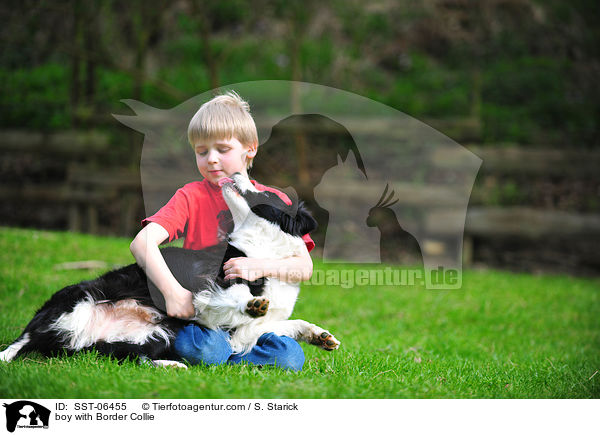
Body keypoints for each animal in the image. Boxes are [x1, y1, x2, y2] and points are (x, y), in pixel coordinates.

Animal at [0, 174, 338, 368]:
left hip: (152, 338)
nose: (237, 172)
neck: (266, 250)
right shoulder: (207, 282)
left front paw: (319, 336)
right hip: (77, 297)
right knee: (22, 341)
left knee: (130, 359)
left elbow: (287, 324)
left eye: (262, 191)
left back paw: (172, 366)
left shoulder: (244, 333)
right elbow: (235, 293)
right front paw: (251, 302)